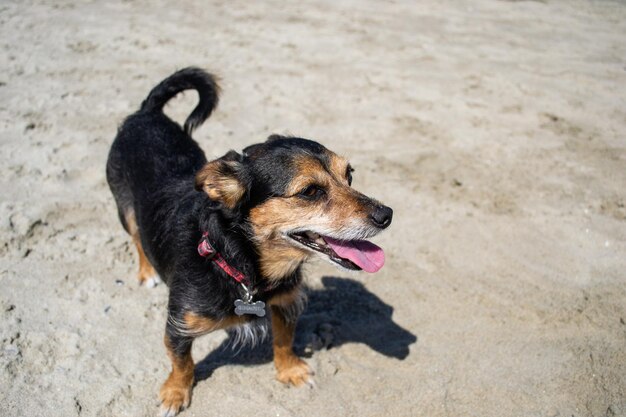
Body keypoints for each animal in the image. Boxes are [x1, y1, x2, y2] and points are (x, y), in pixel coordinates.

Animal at [105, 66, 392, 414]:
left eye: (349, 175)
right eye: (310, 191)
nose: (387, 214)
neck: (240, 262)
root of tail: (148, 113)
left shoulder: (287, 303)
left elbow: (284, 340)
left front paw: (289, 370)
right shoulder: (178, 325)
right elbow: (181, 362)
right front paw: (175, 392)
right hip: (125, 210)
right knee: (137, 238)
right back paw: (147, 272)